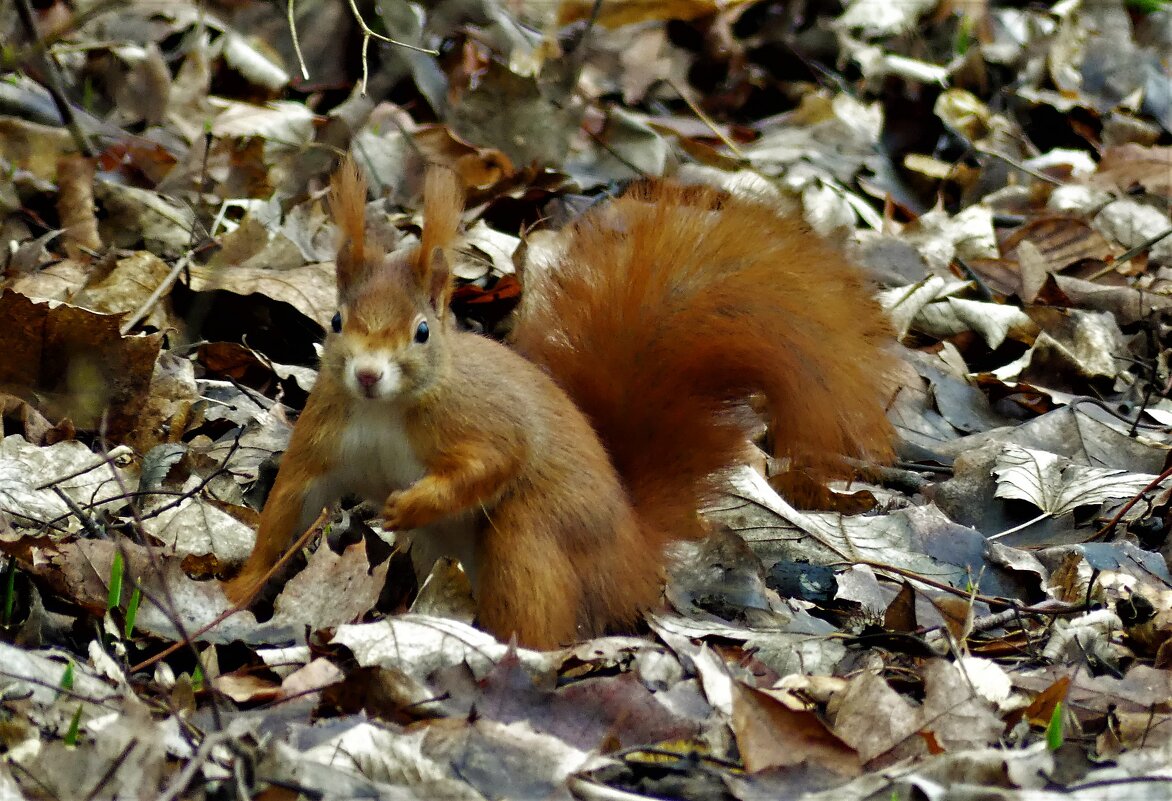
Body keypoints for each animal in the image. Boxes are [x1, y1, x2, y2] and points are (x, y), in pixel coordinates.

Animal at [221, 159, 895, 647]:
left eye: (422, 331)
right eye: (336, 321)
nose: (365, 375)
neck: (385, 410)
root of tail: (633, 552)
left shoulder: (478, 418)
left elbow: (497, 459)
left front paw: (412, 504)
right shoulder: (324, 436)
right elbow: (286, 510)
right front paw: (238, 591)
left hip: (535, 532)